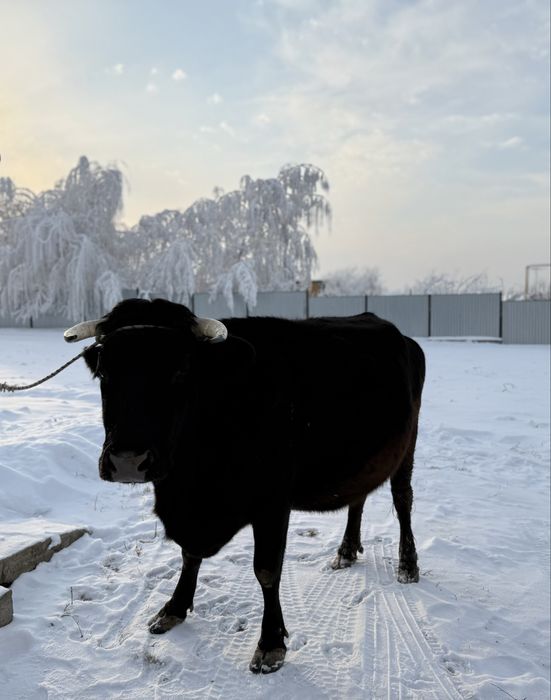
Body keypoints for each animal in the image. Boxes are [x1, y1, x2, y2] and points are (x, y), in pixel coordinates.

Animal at [64, 298, 425, 674]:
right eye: (105, 373)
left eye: (181, 371)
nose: (128, 461)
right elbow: (188, 555)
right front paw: (173, 608)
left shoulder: (273, 502)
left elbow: (266, 570)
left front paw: (270, 644)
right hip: (365, 460)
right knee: (359, 499)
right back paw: (346, 551)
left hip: (407, 447)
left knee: (403, 500)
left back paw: (407, 565)